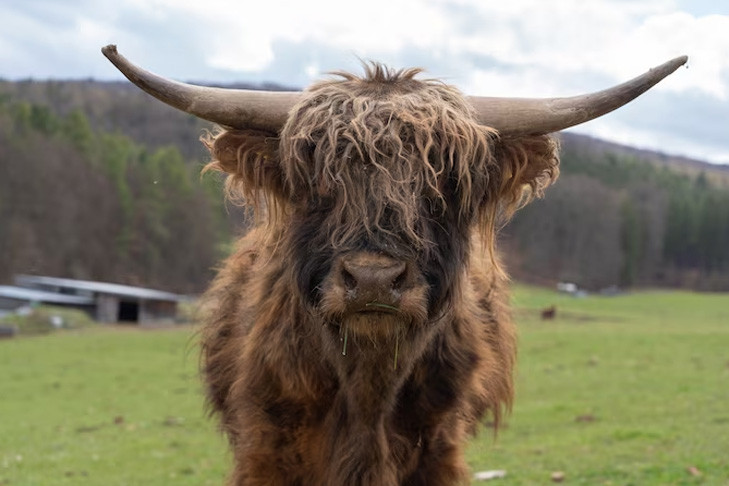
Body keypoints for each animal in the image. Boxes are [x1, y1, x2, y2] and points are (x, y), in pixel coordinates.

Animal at [104, 44, 688, 482]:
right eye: (317, 184)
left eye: (444, 186)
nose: (373, 280)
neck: (367, 391)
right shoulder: (267, 448)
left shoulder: (439, 448)